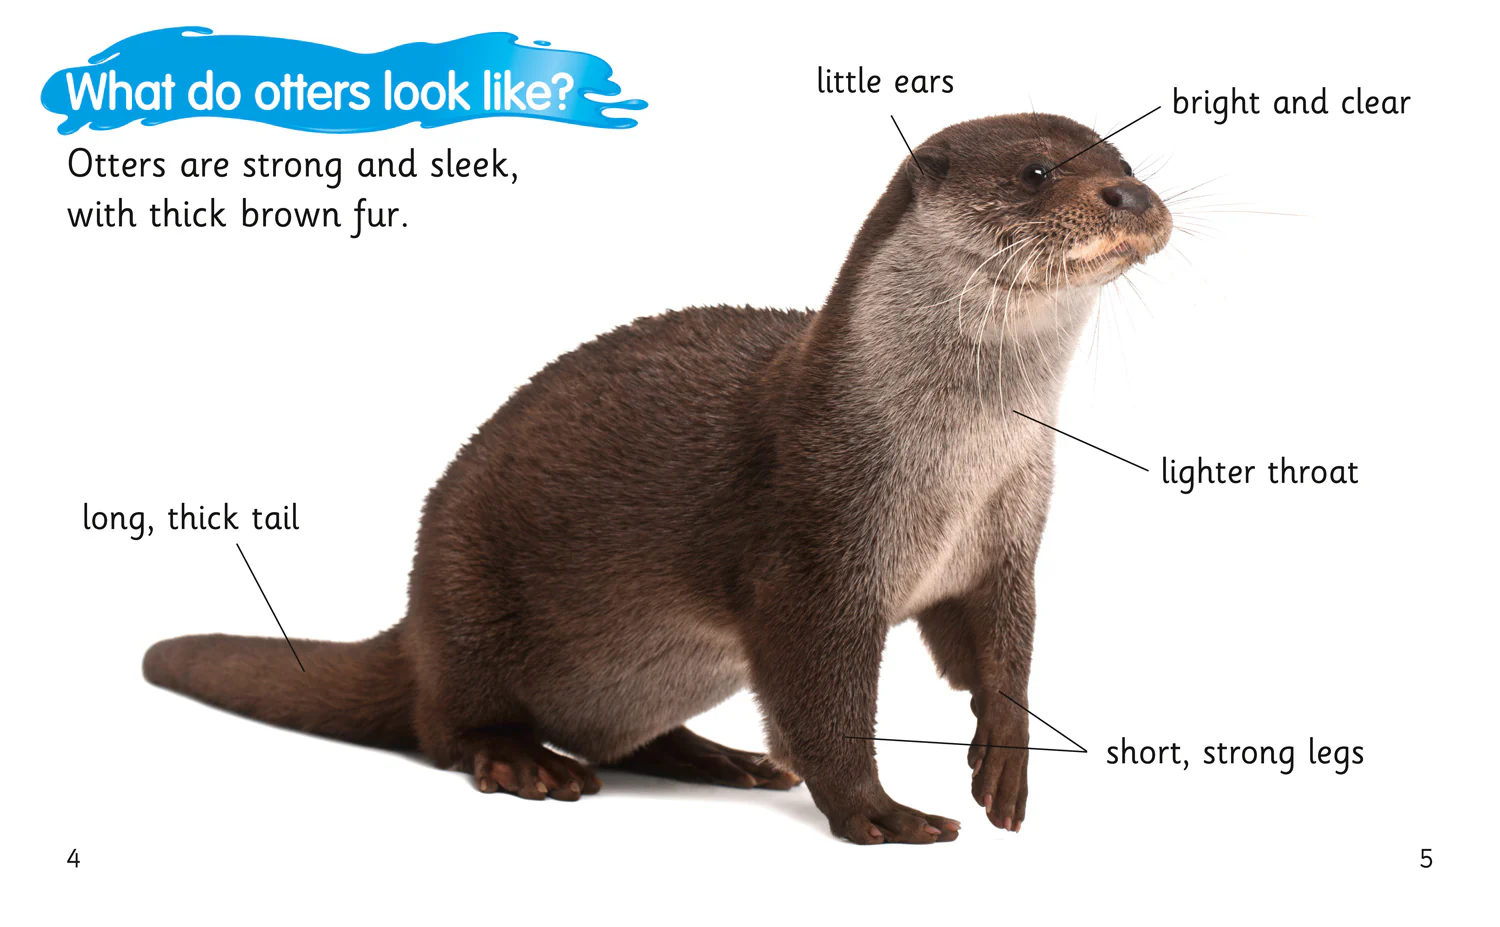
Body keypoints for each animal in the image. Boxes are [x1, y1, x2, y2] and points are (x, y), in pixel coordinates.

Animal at [144, 113, 1172, 844]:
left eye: (1122, 153)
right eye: (1039, 172)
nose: (1129, 192)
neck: (956, 463)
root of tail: (414, 620)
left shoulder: (1007, 537)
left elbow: (998, 648)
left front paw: (1006, 754)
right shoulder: (813, 549)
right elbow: (822, 699)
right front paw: (876, 811)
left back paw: (719, 758)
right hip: (468, 591)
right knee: (446, 727)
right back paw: (524, 761)